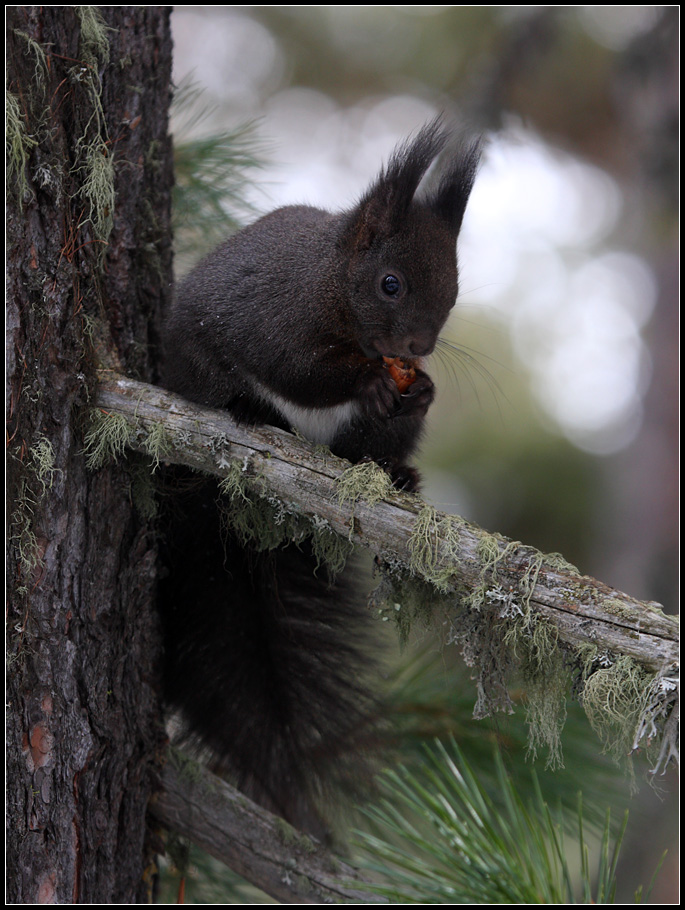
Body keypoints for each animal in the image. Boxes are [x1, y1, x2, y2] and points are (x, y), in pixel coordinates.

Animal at [159, 117, 480, 836]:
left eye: (452, 288)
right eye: (390, 284)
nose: (418, 348)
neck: (336, 285)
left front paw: (420, 392)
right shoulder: (278, 315)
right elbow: (297, 366)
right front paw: (368, 382)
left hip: (360, 445)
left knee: (368, 451)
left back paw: (397, 474)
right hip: (201, 368)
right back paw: (250, 411)